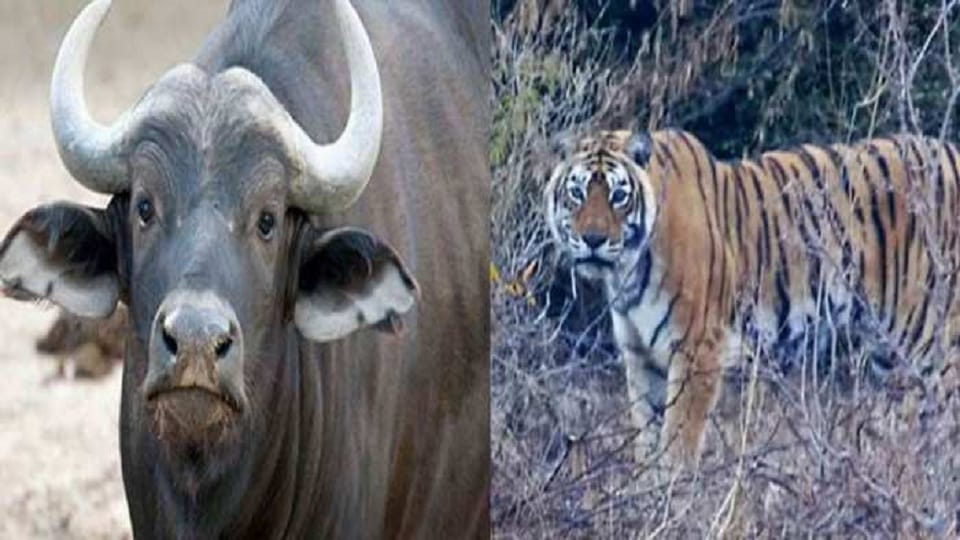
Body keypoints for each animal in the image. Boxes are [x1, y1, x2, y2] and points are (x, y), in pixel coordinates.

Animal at [544, 128, 960, 465]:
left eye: (618, 196)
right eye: (577, 193)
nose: (593, 239)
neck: (626, 271)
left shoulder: (696, 352)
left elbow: (677, 446)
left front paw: (671, 502)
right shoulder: (641, 357)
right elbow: (646, 440)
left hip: (936, 349)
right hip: (893, 358)